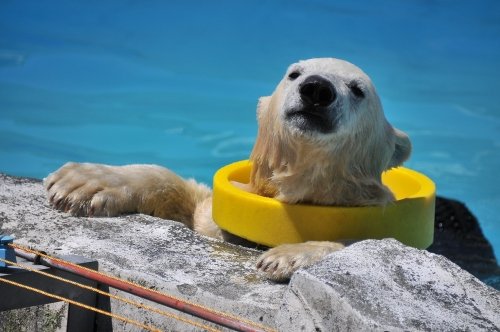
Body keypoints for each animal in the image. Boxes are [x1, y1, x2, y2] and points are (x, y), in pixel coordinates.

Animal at [44, 58, 410, 282]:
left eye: (358, 89)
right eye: (294, 73)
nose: (317, 89)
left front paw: (286, 256)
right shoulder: (216, 224)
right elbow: (191, 204)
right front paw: (80, 182)